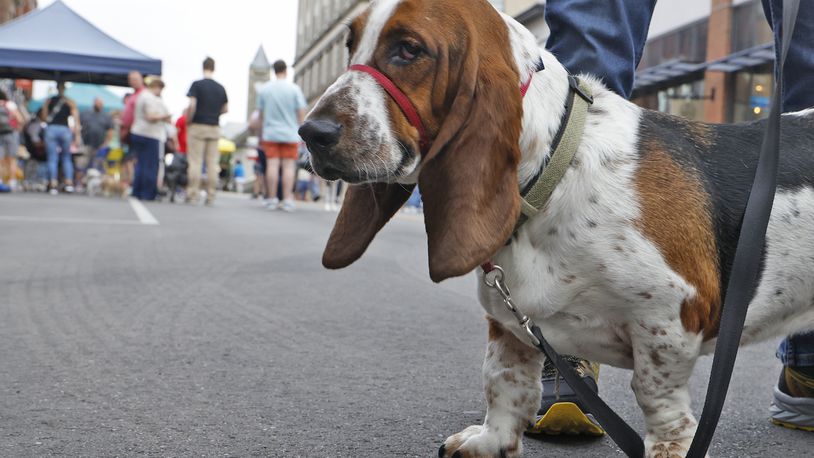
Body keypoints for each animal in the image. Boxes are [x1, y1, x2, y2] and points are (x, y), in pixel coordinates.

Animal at [298, 1, 814, 456]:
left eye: (409, 49)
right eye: (350, 44)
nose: (311, 133)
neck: (556, 170)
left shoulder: (670, 316)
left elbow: (658, 401)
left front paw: (667, 447)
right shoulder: (509, 317)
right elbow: (502, 381)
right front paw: (492, 441)